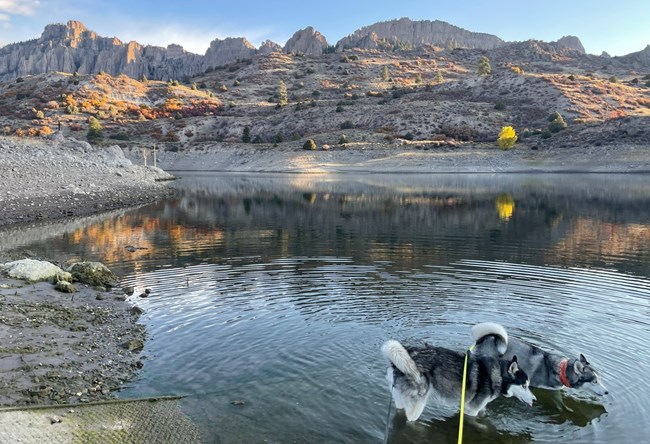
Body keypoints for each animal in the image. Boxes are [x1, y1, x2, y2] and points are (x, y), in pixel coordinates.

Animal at [380, 332, 532, 422]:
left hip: (399, 400)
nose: (534, 400)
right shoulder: (471, 411)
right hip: (417, 406)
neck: (498, 373)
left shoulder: (467, 406)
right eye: (524, 386)